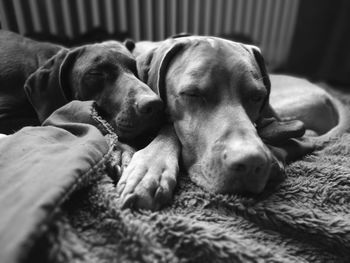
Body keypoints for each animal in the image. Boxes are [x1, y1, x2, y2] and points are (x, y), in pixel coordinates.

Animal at [115, 36, 348, 211]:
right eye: (192, 93)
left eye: (257, 96)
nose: (252, 163)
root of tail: (329, 95)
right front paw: (149, 169)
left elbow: (169, 128)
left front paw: (150, 168)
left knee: (304, 136)